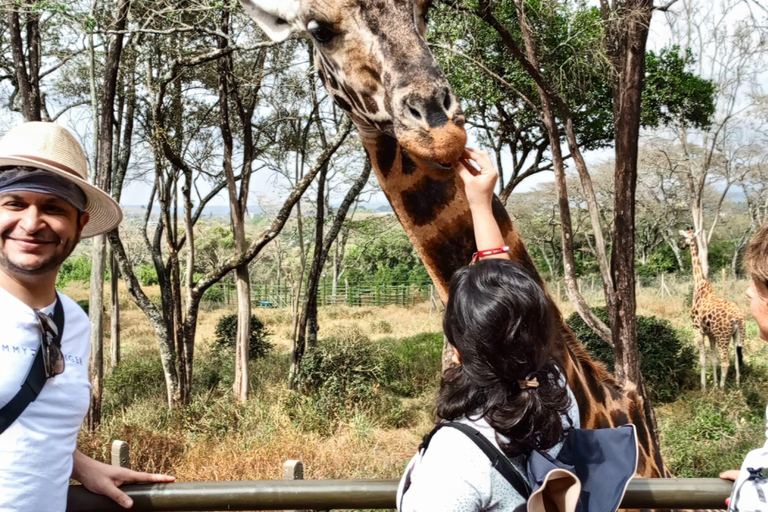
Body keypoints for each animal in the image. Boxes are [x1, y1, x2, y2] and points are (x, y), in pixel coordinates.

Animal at [680, 229, 748, 388]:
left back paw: (723, 389)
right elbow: (713, 359)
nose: (681, 246)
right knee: (737, 360)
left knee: (726, 362)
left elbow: (703, 360)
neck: (701, 285)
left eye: (684, 237)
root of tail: (738, 318)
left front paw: (704, 387)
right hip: (738, 335)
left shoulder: (698, 330)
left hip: (723, 337)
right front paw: (714, 385)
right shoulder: (711, 334)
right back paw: (737, 386)